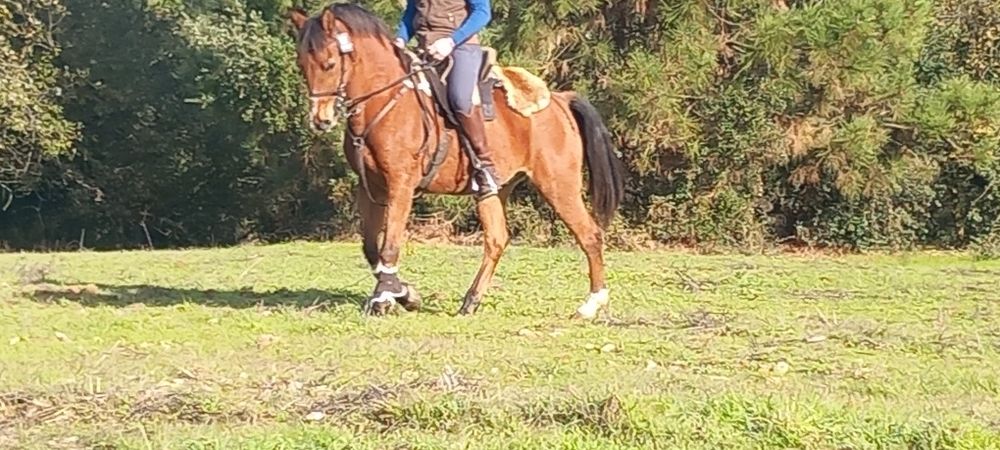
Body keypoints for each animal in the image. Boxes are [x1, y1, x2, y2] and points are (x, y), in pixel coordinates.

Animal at [287, 3, 626, 319]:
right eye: (302, 64)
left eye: (330, 63)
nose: (320, 119)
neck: (385, 101)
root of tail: (559, 101)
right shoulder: (371, 187)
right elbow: (371, 247)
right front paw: (404, 293)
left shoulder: (401, 185)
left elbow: (389, 245)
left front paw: (389, 298)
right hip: (493, 189)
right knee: (496, 239)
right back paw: (471, 301)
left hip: (558, 185)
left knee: (589, 234)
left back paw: (591, 304)